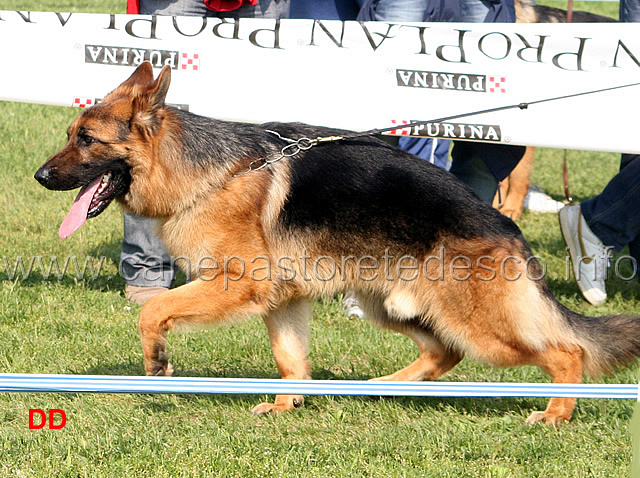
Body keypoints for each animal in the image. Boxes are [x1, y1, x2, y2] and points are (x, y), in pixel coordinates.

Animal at [35, 61, 640, 424]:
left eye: (86, 140)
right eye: (68, 135)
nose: (40, 176)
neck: (210, 173)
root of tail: (503, 225)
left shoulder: (237, 284)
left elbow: (152, 309)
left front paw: (157, 360)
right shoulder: (282, 300)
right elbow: (289, 358)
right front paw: (287, 404)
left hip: (481, 324)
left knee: (564, 352)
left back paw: (557, 414)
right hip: (391, 305)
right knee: (443, 352)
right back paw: (386, 386)